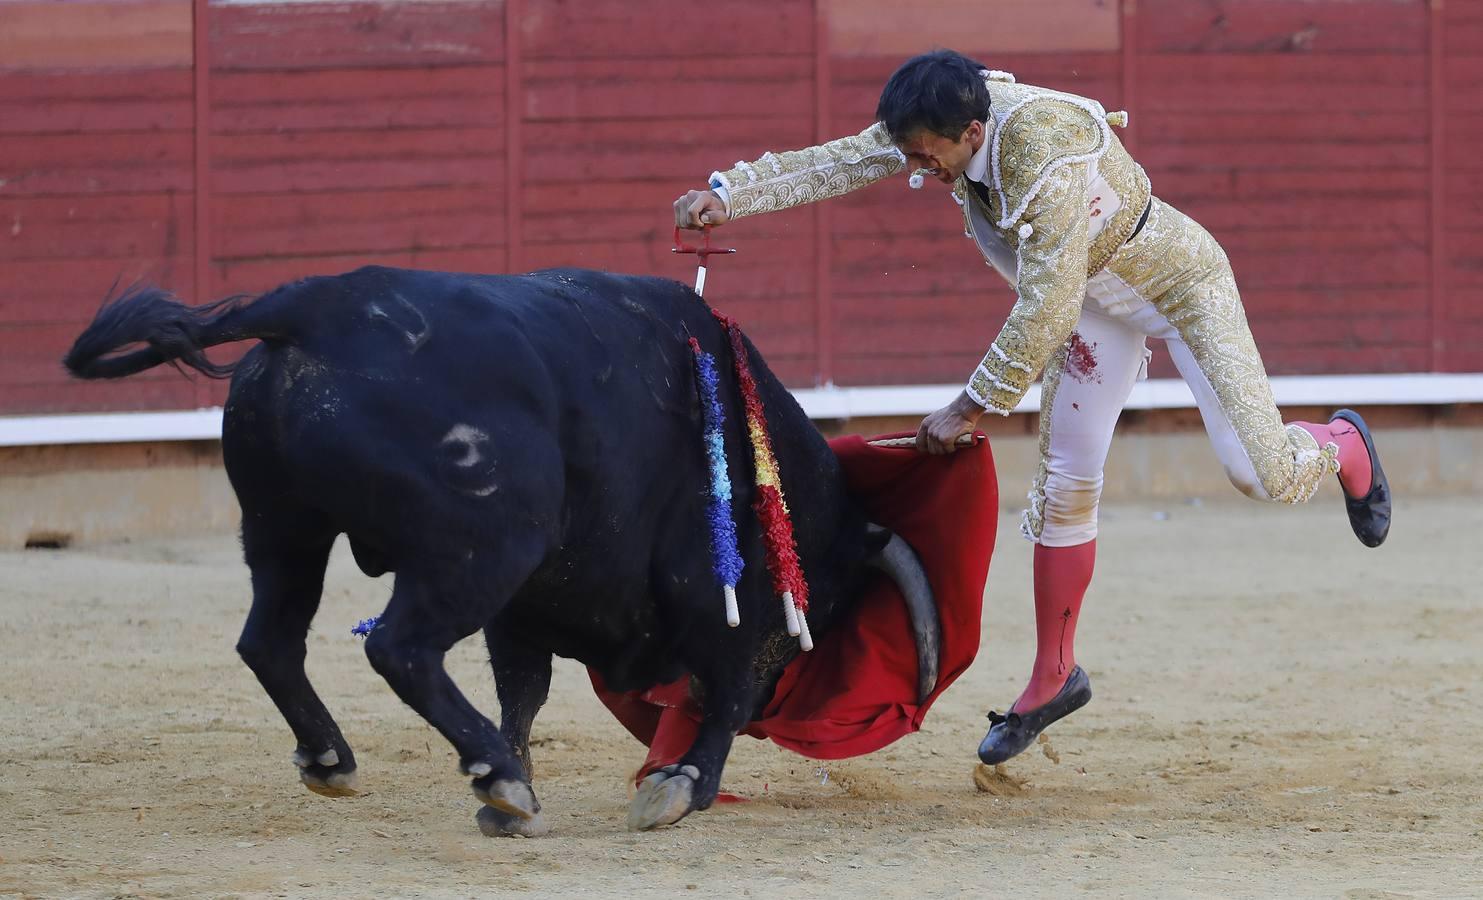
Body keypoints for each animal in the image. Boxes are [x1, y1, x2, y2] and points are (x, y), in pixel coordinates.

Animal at [66, 266, 937, 836]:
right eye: (816, 611)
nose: (774, 704)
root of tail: (315, 305)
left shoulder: (525, 612)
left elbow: (526, 691)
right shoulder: (710, 595)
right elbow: (718, 694)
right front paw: (676, 787)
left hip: (284, 529)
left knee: (270, 641)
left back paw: (337, 760)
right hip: (483, 547)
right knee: (398, 647)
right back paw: (497, 774)